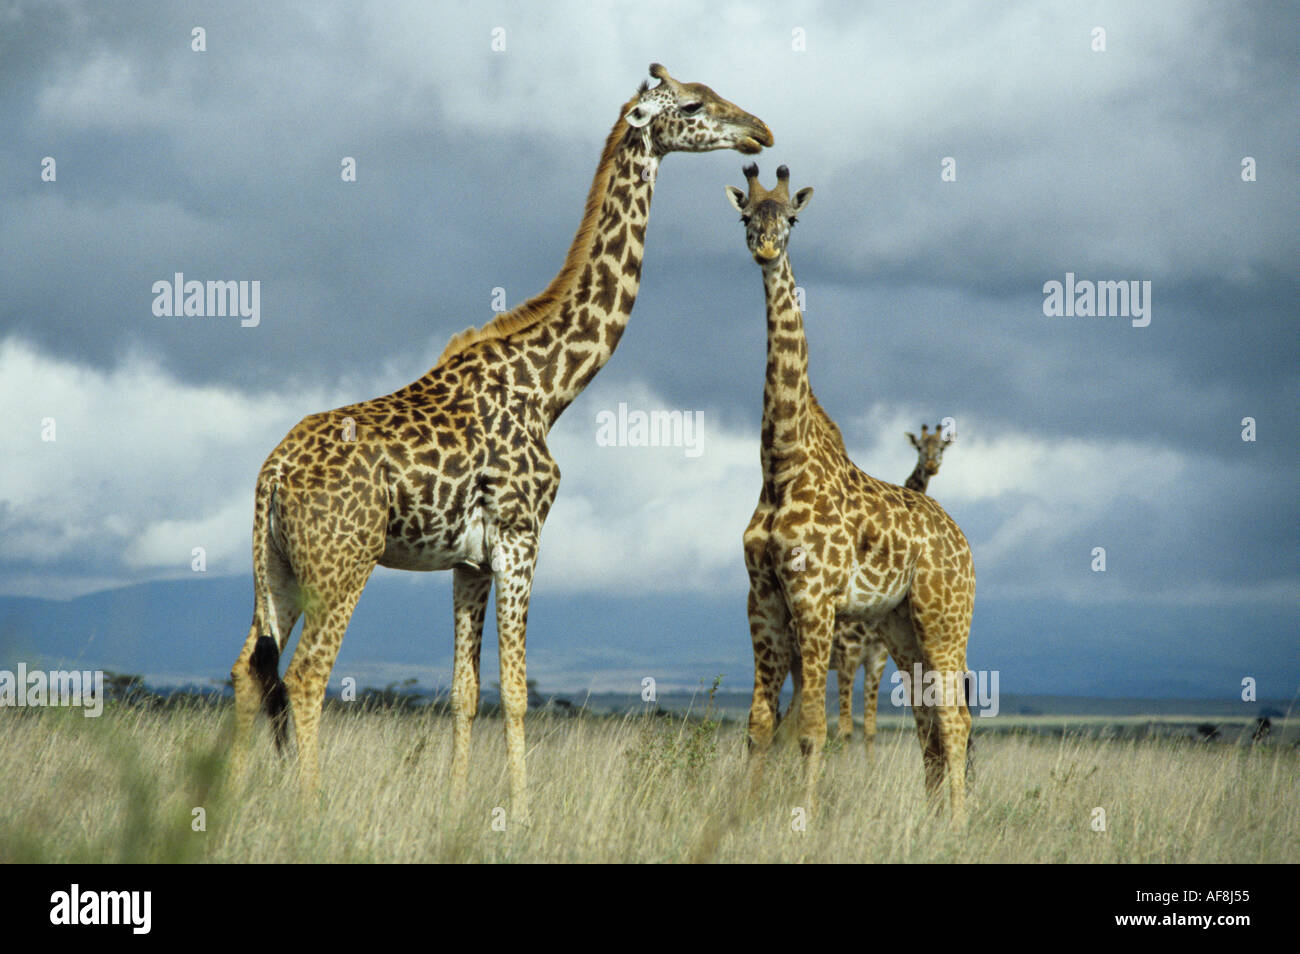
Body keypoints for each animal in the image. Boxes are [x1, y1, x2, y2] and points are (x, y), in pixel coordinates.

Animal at [231, 63, 769, 821]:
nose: (761, 130)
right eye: (692, 105)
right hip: (341, 564)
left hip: (274, 567)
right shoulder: (521, 538)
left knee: (249, 672)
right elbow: (515, 692)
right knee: (305, 677)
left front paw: (458, 806)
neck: (551, 387)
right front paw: (523, 811)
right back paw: (310, 809)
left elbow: (464, 692)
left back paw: (221, 800)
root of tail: (272, 474)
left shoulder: (468, 562)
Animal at [832, 421, 956, 759]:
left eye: (942, 447)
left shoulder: (875, 657)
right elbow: (845, 729)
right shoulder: (848, 654)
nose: (931, 465)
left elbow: (869, 729)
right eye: (920, 447)